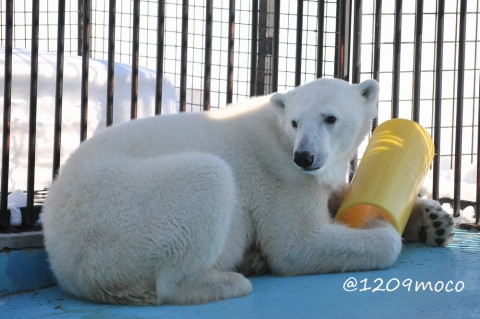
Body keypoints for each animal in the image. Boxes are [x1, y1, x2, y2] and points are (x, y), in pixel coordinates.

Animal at [41, 77, 454, 304]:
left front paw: (433, 220)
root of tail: (63, 259)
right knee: (208, 181)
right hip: (123, 211)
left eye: (330, 118)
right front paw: (378, 226)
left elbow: (337, 195)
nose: (305, 156)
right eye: (295, 122)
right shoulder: (280, 176)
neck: (278, 132)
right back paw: (230, 279)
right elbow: (297, 245)